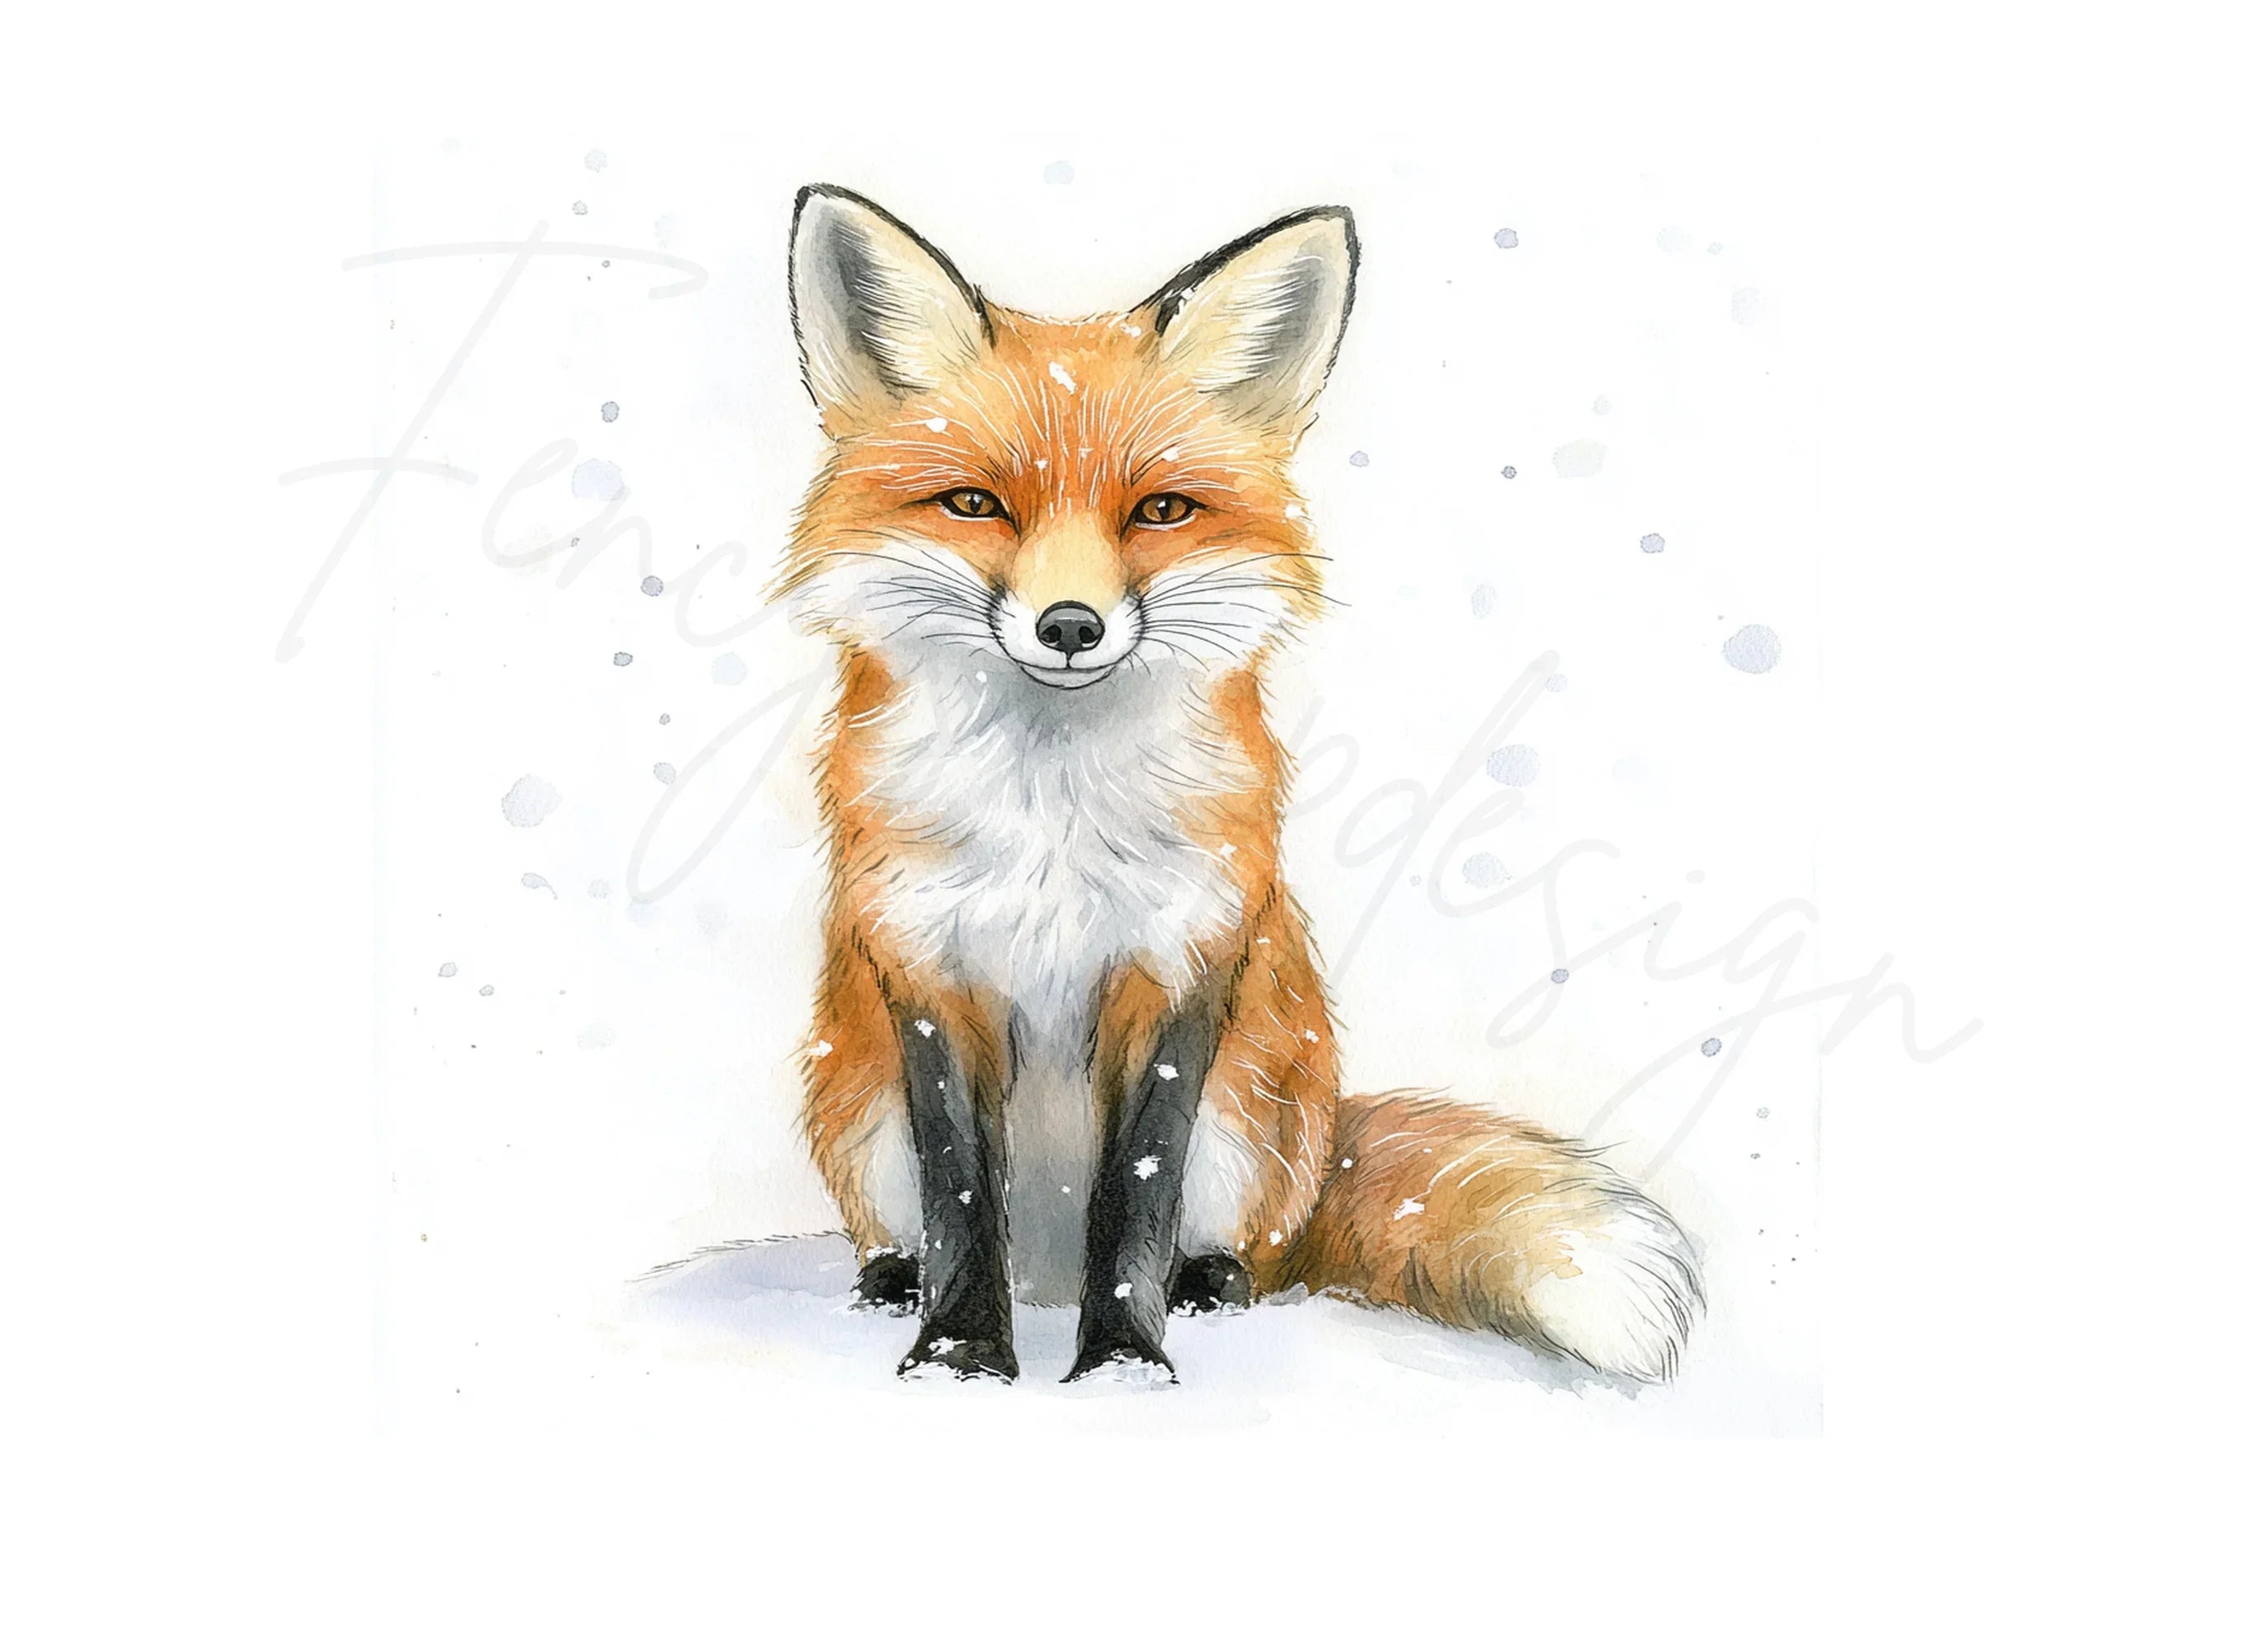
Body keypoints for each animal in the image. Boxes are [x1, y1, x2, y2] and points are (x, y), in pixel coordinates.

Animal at [773, 184, 1702, 1385]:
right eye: (974, 504)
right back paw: (894, 1280)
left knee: (1247, 1249)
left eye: (1161, 511)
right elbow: (963, 1195)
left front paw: (1123, 1363)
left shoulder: (1180, 963)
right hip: (855, 1108)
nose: (1068, 626)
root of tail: (1045, 1278)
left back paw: (1207, 1285)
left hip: (1256, 1123)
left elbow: (1135, 1199)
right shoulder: (929, 968)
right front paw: (958, 1355)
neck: (1050, 816)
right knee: (910, 1224)